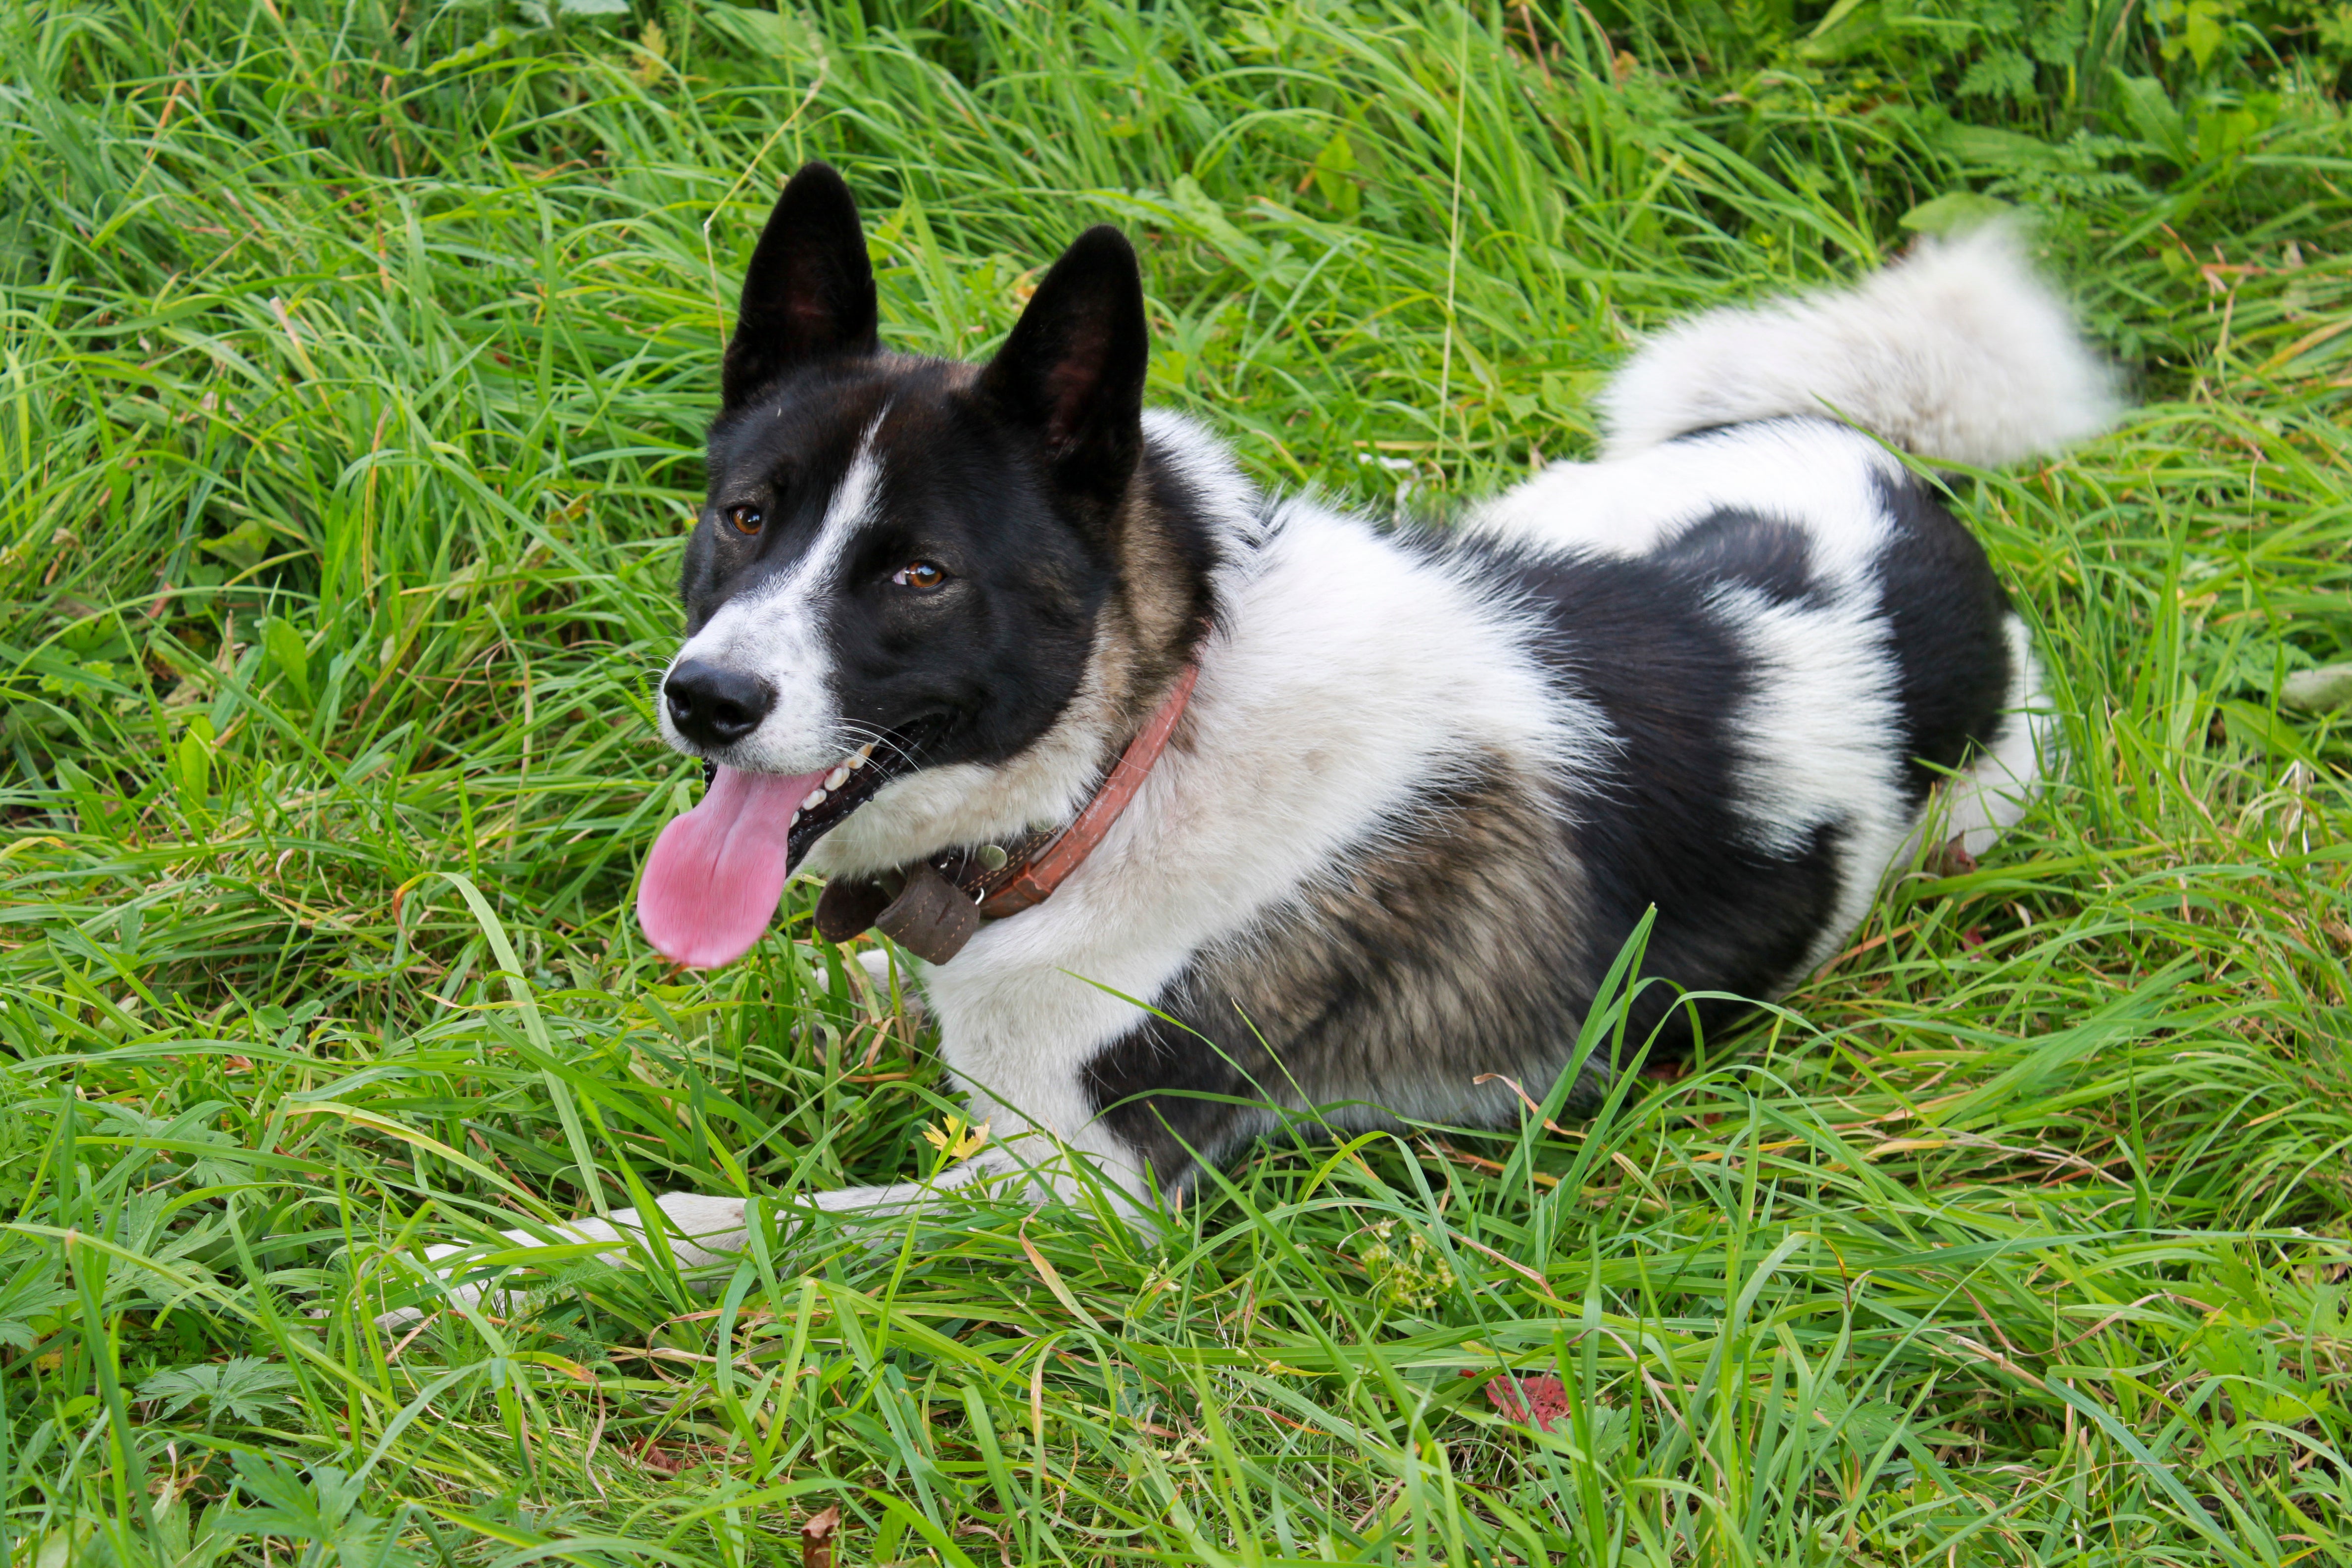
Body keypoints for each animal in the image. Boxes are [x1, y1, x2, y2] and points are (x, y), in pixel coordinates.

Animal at [386, 156, 2116, 1316]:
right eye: (747, 517)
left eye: (919, 576)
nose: (708, 701)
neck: (1138, 752)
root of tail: (1895, 478)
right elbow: (744, 1010)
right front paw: (462, 1070)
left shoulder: (1084, 1199)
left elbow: (747, 1219)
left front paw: (501, 1262)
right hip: (1548, 509)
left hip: (1982, 801)